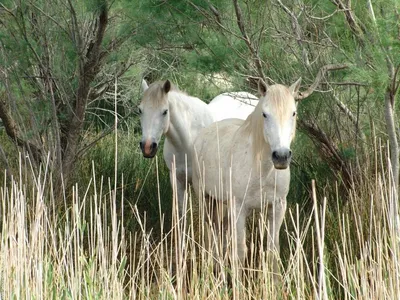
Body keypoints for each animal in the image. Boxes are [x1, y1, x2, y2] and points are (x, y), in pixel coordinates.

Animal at [192, 77, 302, 268]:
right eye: (265, 114)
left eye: (293, 113)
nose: (281, 157)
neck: (262, 171)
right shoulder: (239, 208)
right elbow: (240, 252)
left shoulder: (278, 207)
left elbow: (272, 251)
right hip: (206, 199)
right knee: (211, 233)